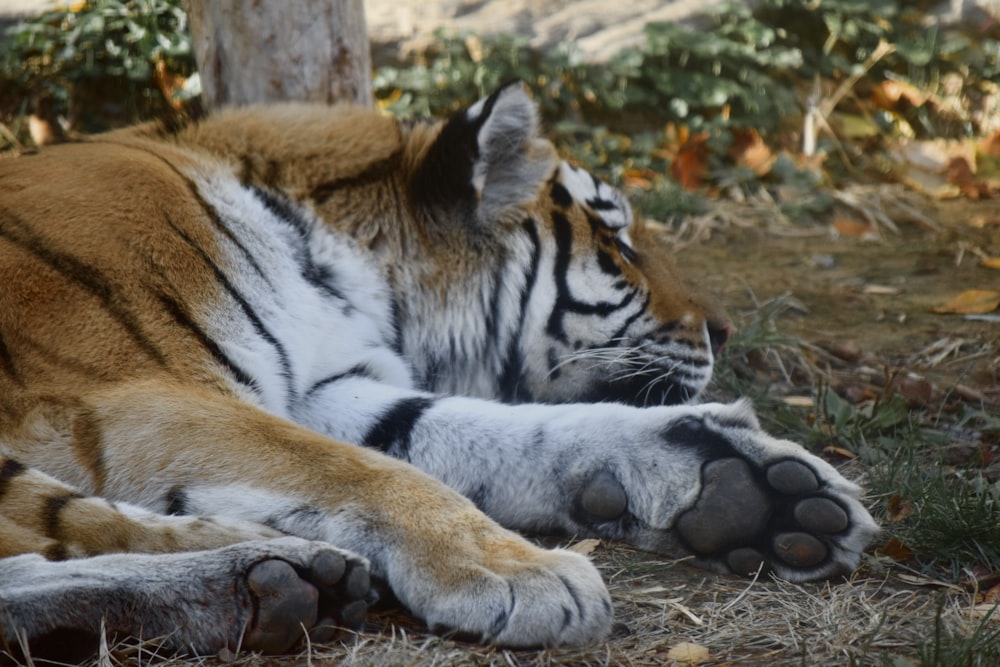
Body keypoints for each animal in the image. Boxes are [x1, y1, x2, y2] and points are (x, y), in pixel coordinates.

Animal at [0, 82, 876, 656]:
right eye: (618, 243)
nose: (724, 329)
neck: (345, 262)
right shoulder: (124, 389)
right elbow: (369, 472)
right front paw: (521, 570)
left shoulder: (325, 385)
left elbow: (479, 433)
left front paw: (742, 483)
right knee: (51, 536)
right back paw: (273, 570)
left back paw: (282, 575)